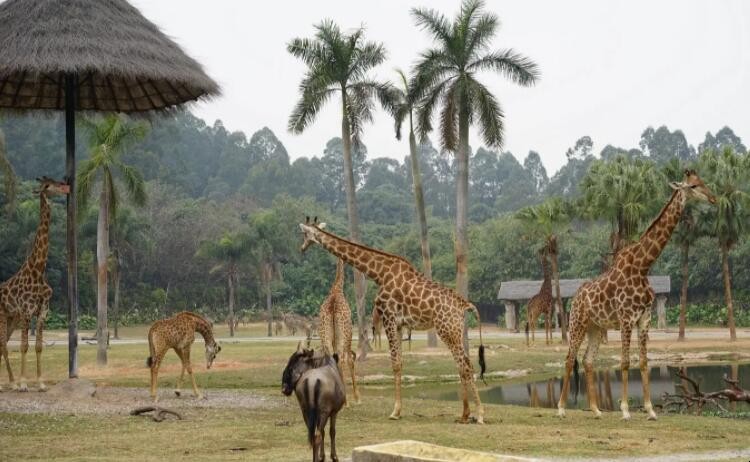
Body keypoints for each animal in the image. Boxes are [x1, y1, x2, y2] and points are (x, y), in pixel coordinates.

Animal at [318, 258, 362, 406]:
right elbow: (350, 361)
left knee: (330, 358)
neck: (337, 287)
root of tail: (332, 307)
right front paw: (357, 398)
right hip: (343, 335)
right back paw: (346, 401)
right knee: (342, 359)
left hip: (325, 336)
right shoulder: (349, 336)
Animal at [560, 171, 716, 422]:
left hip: (596, 328)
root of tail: (575, 298)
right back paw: (561, 408)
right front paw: (625, 411)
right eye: (693, 186)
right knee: (569, 358)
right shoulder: (626, 319)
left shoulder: (644, 318)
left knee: (587, 360)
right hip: (578, 322)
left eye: (703, 182)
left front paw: (651, 410)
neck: (643, 266)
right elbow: (625, 362)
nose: (713, 199)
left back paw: (596, 410)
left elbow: (643, 362)